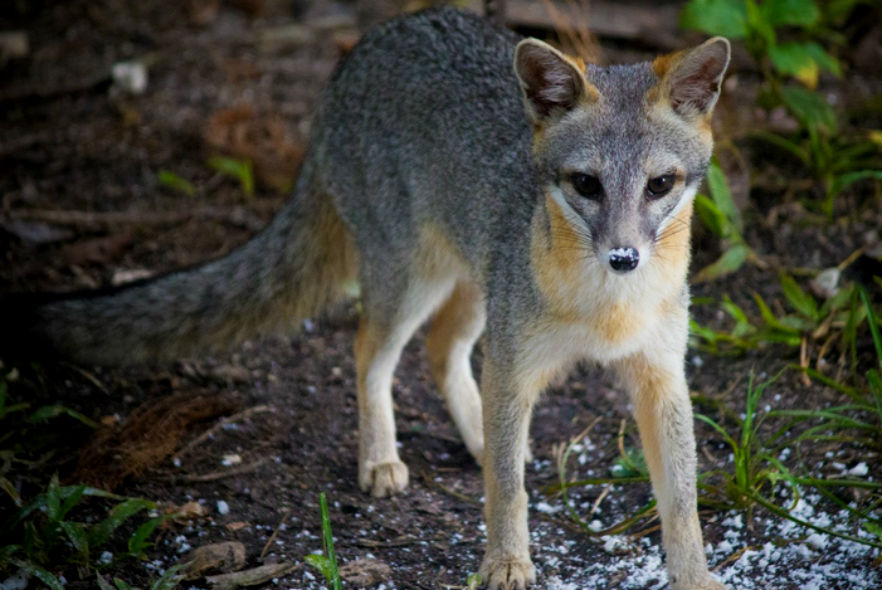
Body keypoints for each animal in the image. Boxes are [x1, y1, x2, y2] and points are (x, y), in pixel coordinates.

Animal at [6, 8, 732, 590]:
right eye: (586, 184)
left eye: (659, 185)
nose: (623, 257)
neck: (608, 309)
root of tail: (368, 45)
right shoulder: (517, 359)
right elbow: (506, 492)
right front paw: (505, 561)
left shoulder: (661, 375)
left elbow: (682, 502)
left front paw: (694, 577)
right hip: (414, 283)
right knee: (368, 352)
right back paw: (382, 456)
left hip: (470, 283)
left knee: (442, 354)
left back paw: (477, 435)